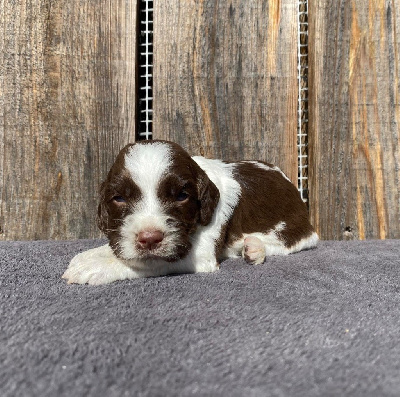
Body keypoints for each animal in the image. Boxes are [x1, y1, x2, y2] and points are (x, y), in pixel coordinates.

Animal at [63, 141, 318, 284]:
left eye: (181, 196)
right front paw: (91, 255)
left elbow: (148, 262)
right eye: (119, 198)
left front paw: (95, 267)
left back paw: (255, 249)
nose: (149, 239)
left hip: (295, 230)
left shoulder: (198, 253)